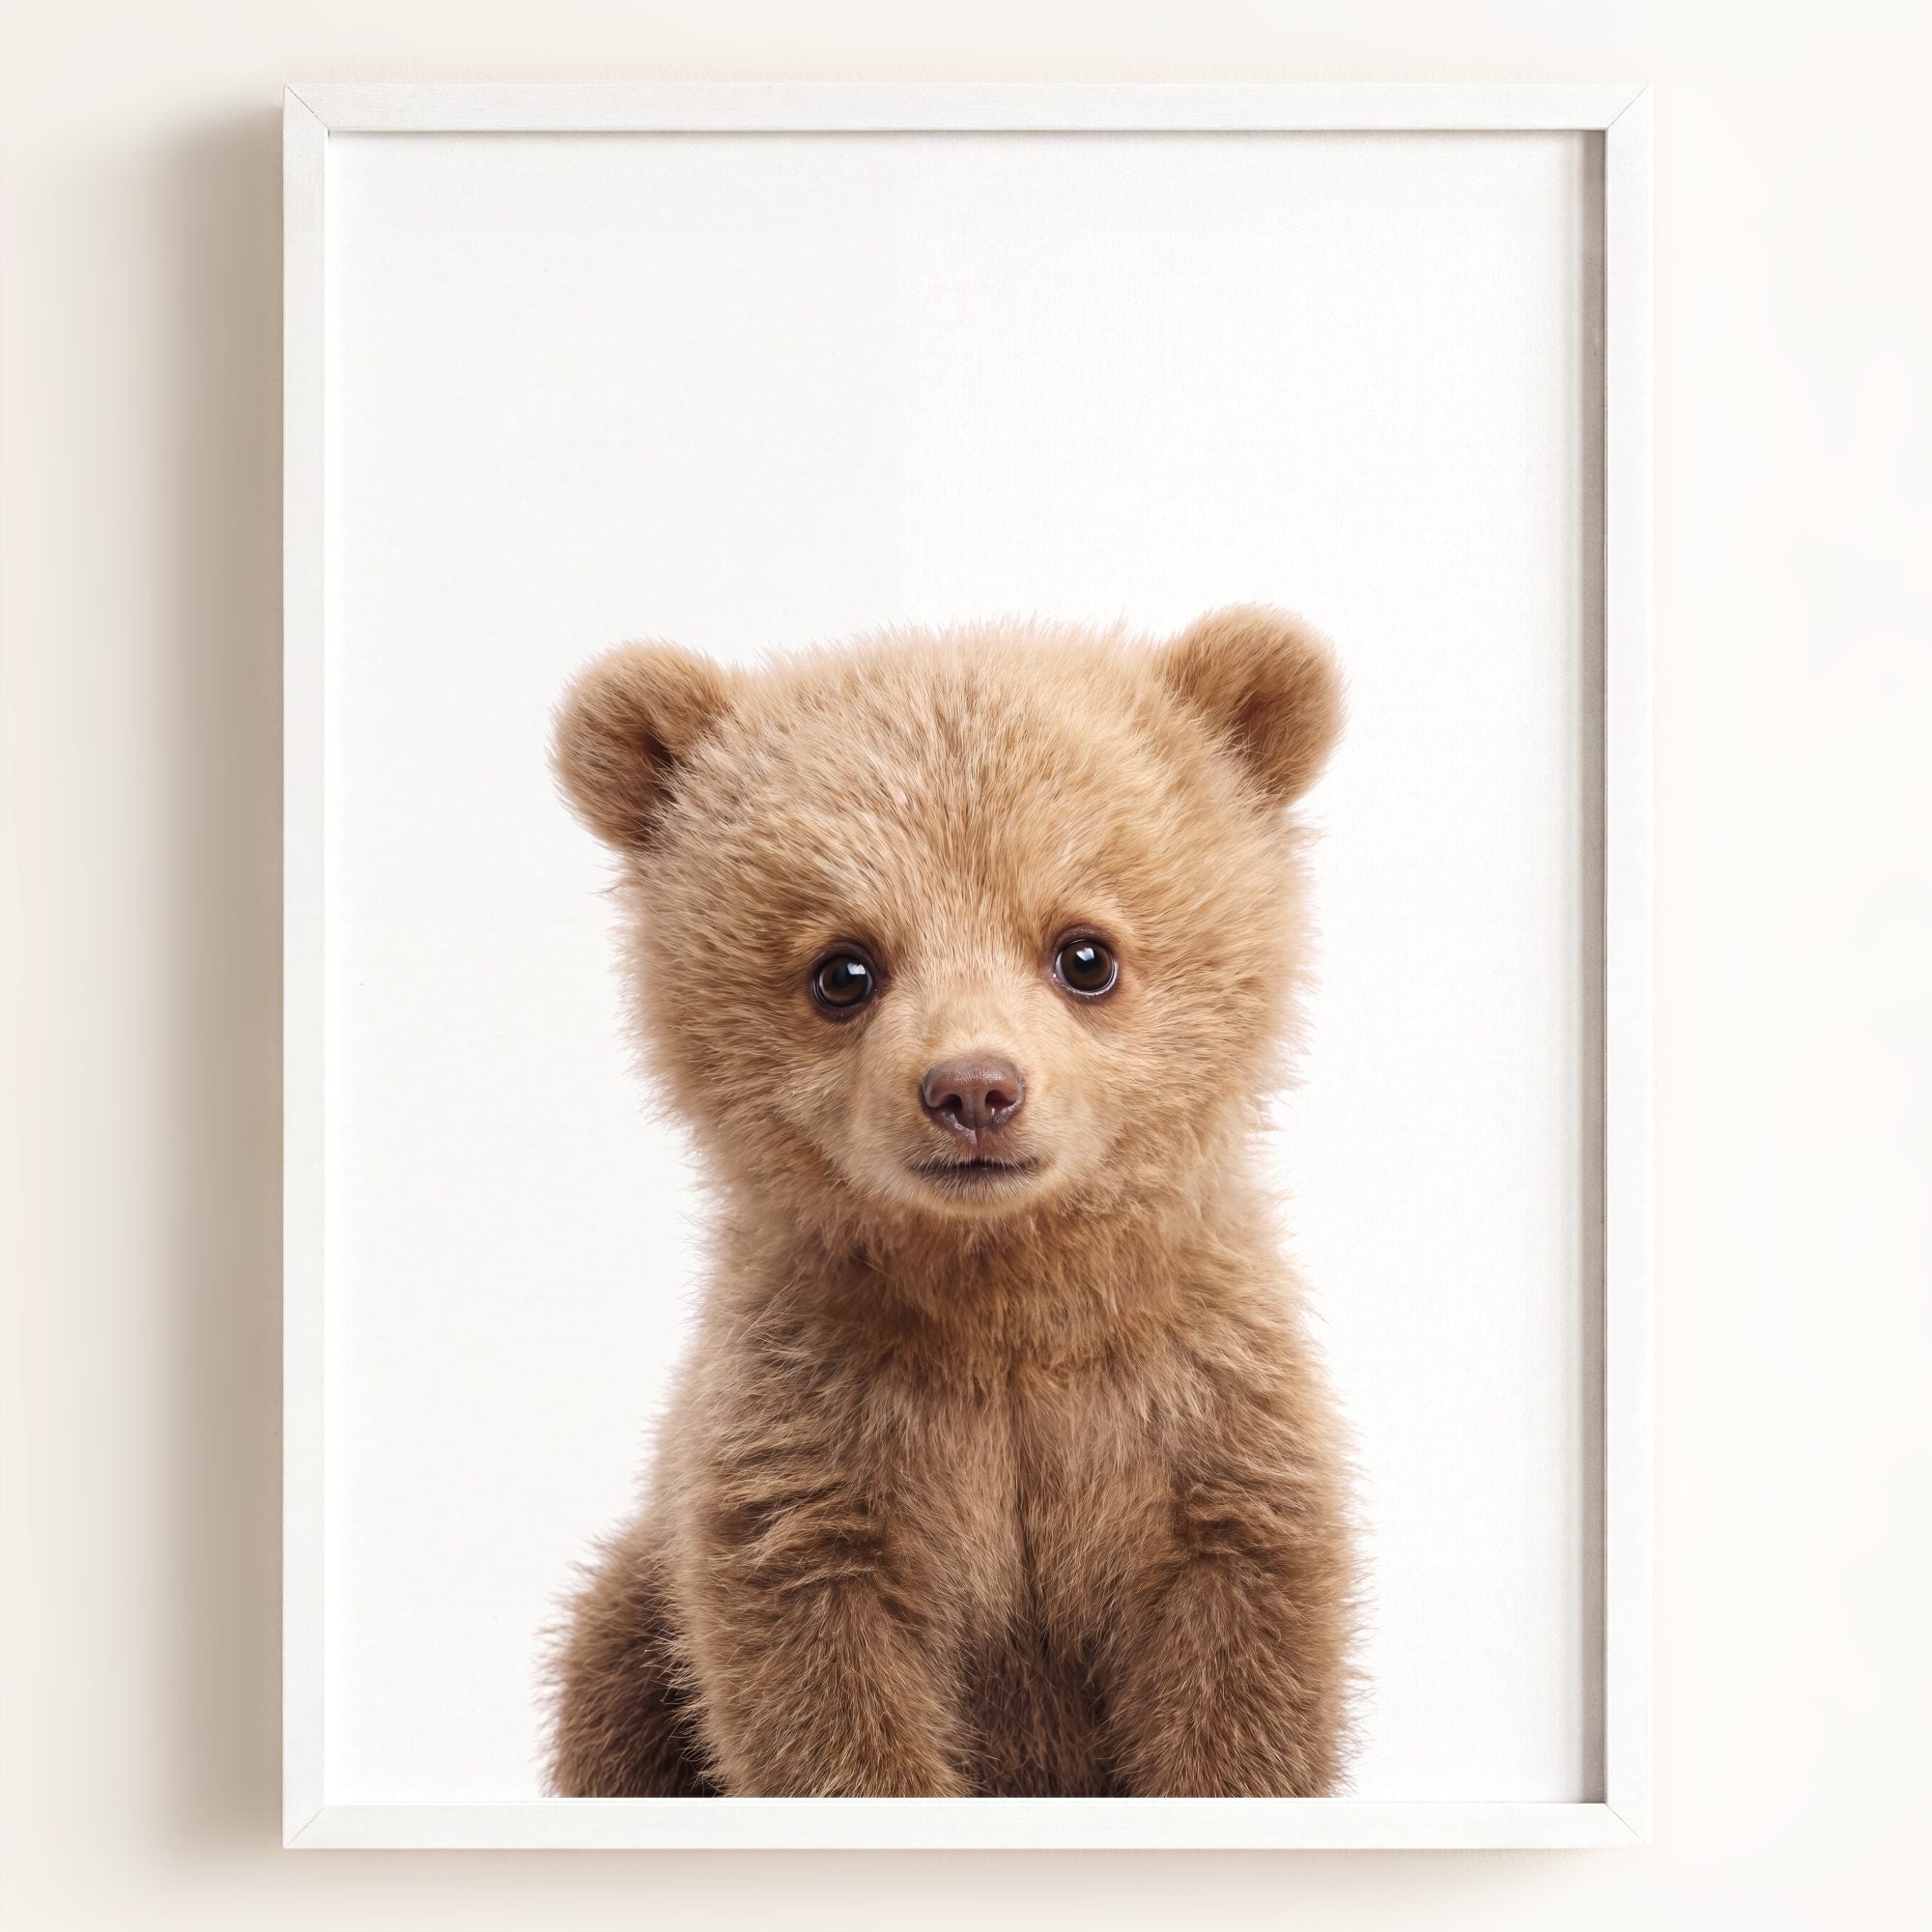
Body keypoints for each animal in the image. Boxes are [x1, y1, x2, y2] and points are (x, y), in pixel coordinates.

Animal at [545, 606, 1357, 1798]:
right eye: (842, 968)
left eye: (1084, 952)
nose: (973, 1088)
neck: (1001, 1298)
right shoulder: (815, 1447)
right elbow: (820, 1688)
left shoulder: (1197, 1425)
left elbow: (1239, 1674)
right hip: (632, 1629)